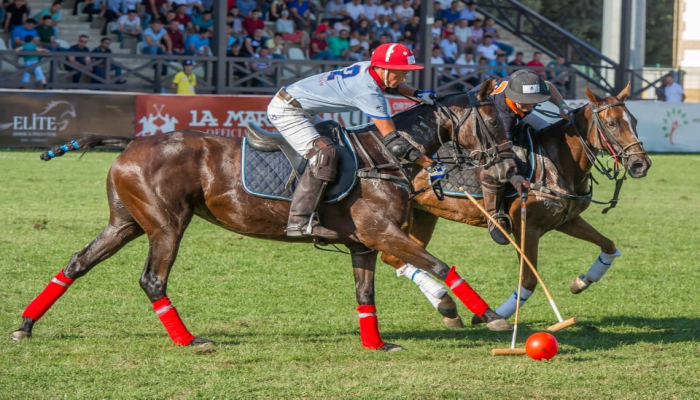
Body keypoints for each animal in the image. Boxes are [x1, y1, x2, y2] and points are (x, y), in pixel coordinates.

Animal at [9, 81, 520, 350]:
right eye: (494, 121)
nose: (511, 165)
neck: (383, 155)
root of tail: (131, 140)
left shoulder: (364, 242)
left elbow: (366, 293)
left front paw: (376, 343)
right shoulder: (381, 231)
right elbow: (440, 264)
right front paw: (487, 315)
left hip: (126, 222)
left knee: (77, 263)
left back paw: (25, 325)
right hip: (167, 224)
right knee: (152, 280)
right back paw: (189, 341)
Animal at [382, 83, 652, 326]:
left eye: (635, 121)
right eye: (612, 123)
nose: (641, 164)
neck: (556, 160)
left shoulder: (567, 220)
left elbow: (609, 245)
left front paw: (581, 282)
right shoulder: (527, 228)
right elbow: (529, 281)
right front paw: (495, 315)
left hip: (425, 215)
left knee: (395, 257)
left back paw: (447, 309)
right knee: (394, 256)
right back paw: (446, 303)